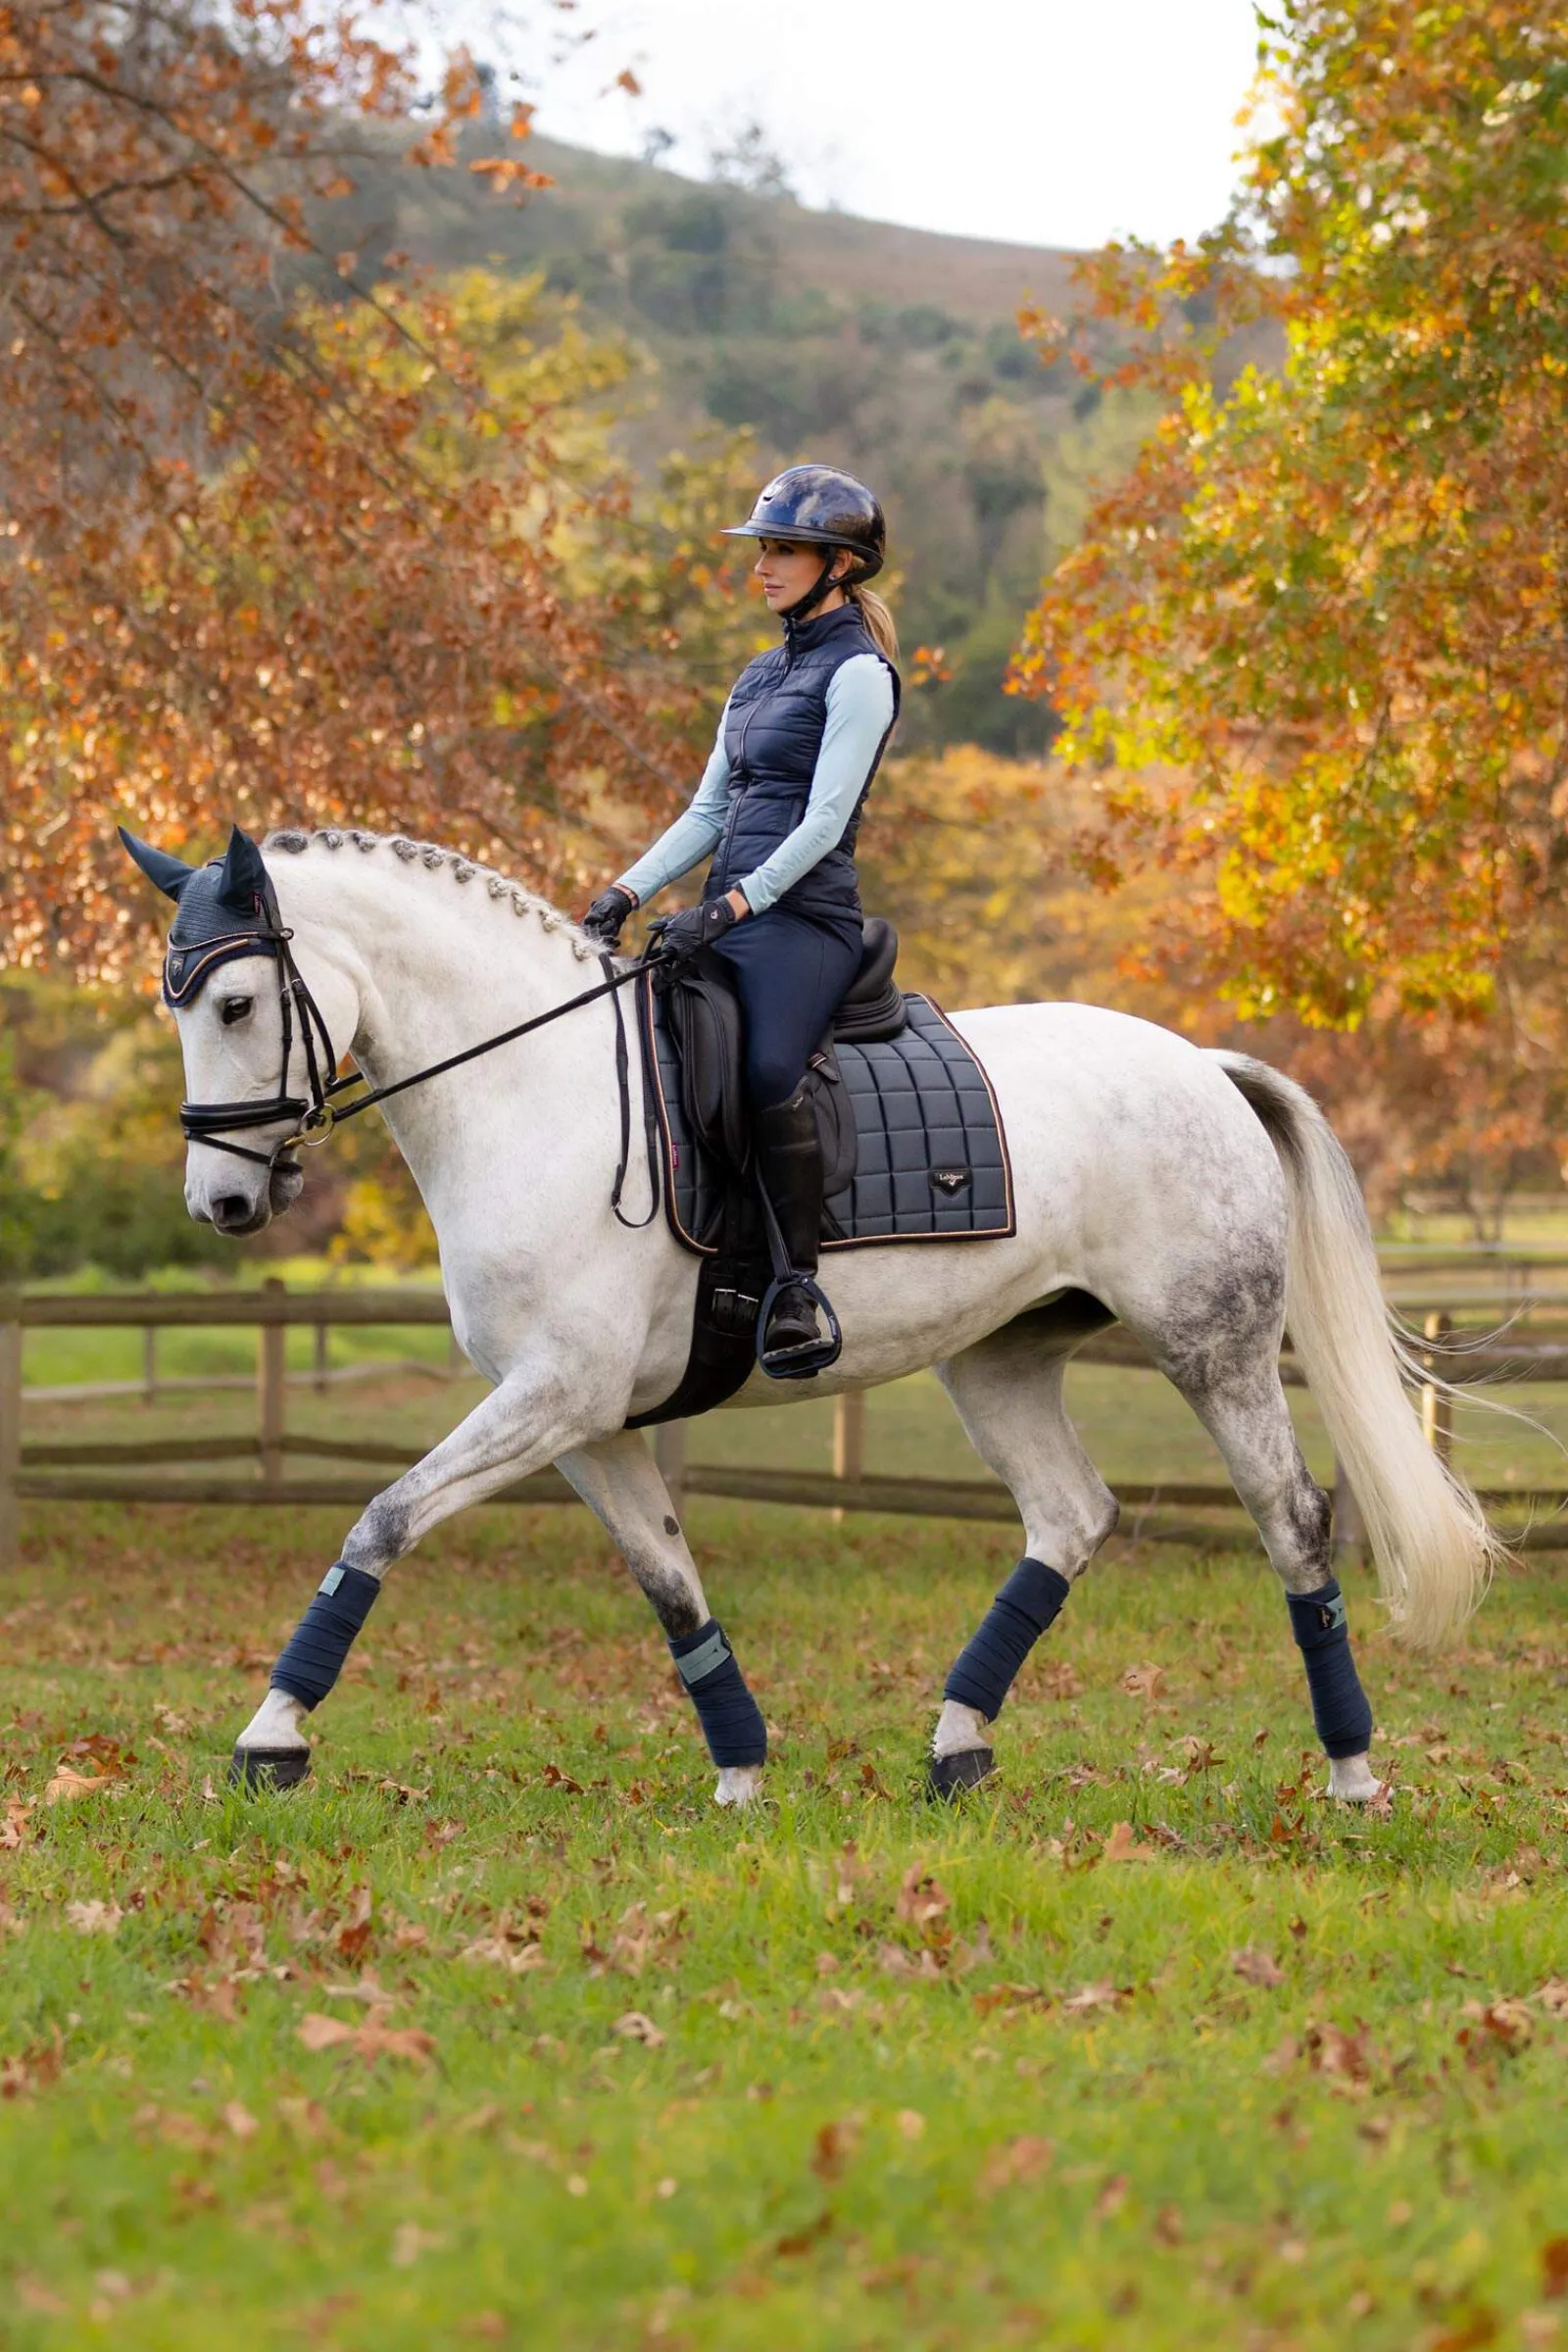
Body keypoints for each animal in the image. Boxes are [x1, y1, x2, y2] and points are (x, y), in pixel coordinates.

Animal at [121, 822, 1502, 1807]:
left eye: (235, 1005)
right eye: (175, 1005)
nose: (222, 1201)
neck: (536, 1088)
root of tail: (1200, 1063)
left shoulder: (555, 1395)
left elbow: (384, 1517)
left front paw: (272, 1737)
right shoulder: (586, 1421)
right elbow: (670, 1585)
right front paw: (740, 1770)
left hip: (1211, 1349)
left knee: (1293, 1525)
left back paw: (1352, 1772)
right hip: (999, 1362)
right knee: (1069, 1518)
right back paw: (955, 1747)